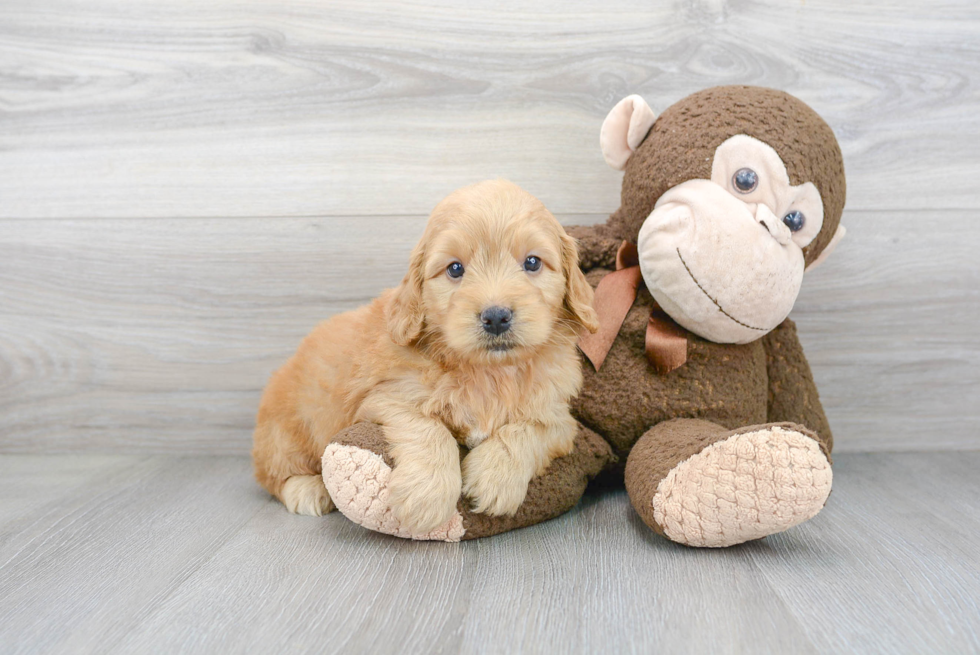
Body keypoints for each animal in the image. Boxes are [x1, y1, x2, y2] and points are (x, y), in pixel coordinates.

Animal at [253, 179, 596, 532]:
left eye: (532, 262)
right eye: (455, 269)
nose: (496, 317)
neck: (489, 371)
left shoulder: (559, 417)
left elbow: (528, 430)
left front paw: (495, 477)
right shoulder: (385, 397)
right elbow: (428, 428)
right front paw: (427, 495)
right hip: (285, 431)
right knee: (274, 474)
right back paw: (308, 489)